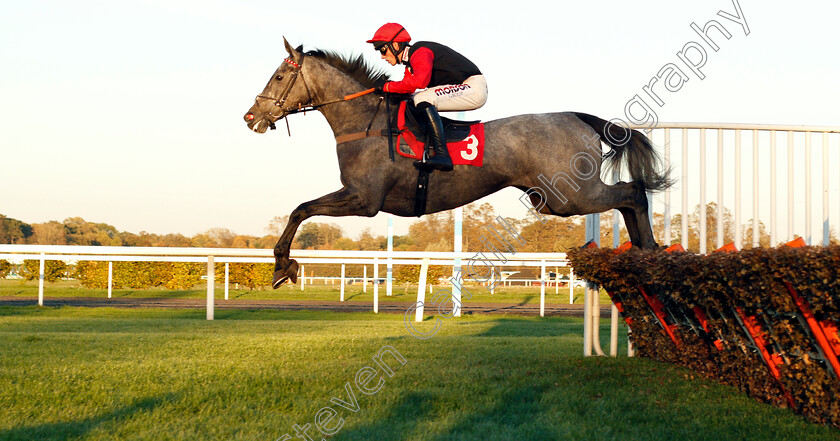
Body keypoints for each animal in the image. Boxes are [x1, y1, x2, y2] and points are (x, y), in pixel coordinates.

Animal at [243, 39, 668, 288]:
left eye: (278, 76)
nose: (250, 117)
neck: (365, 122)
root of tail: (578, 117)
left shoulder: (364, 200)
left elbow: (301, 210)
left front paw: (282, 267)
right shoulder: (360, 198)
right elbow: (301, 209)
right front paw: (284, 266)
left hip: (569, 196)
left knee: (632, 192)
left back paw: (648, 248)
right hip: (554, 200)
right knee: (629, 196)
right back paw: (643, 250)